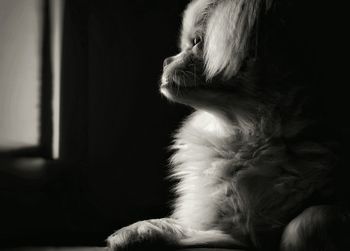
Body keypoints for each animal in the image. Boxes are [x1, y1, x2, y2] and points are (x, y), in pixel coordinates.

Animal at [108, 0, 348, 251]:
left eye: (197, 42)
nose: (165, 61)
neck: (245, 130)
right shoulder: (230, 227)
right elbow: (181, 226)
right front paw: (138, 230)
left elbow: (309, 220)